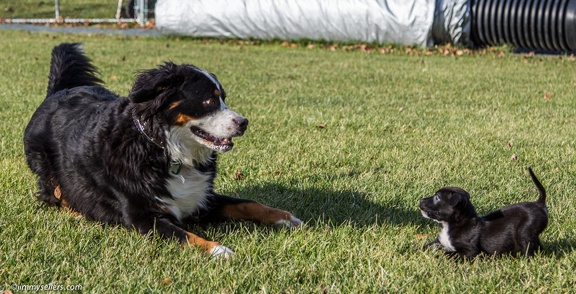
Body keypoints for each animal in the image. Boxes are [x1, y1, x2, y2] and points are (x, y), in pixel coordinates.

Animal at [22, 42, 302, 258]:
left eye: (223, 97)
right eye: (208, 100)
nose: (244, 123)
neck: (165, 151)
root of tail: (58, 91)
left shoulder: (200, 197)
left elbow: (247, 204)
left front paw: (285, 217)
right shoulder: (144, 218)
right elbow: (188, 236)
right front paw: (218, 250)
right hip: (46, 169)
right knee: (57, 194)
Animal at [420, 168, 548, 260]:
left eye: (437, 198)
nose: (420, 200)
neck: (451, 225)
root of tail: (539, 204)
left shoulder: (470, 250)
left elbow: (449, 253)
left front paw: (439, 255)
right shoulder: (438, 242)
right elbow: (424, 247)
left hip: (525, 233)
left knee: (529, 250)